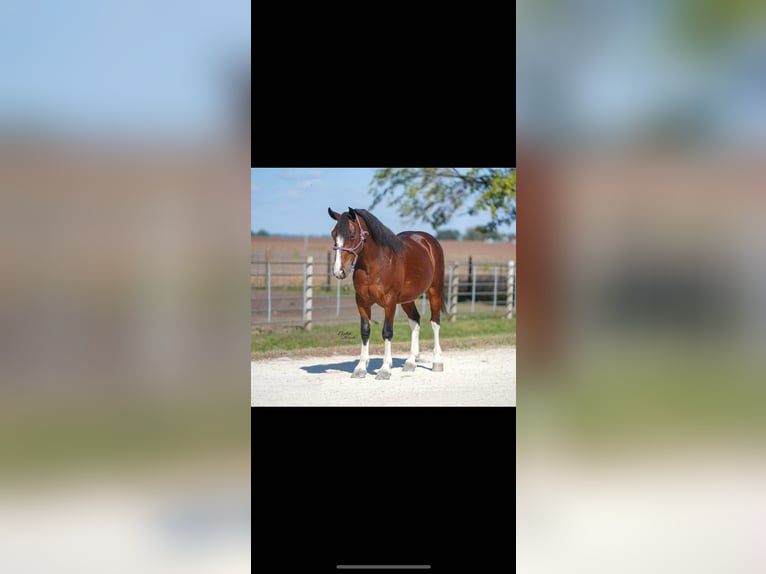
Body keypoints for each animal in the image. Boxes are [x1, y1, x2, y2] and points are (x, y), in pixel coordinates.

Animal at [328, 207, 447, 379]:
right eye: (333, 234)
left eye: (352, 234)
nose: (339, 271)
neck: (375, 264)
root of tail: (429, 241)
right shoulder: (362, 302)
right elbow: (365, 331)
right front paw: (360, 368)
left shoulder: (390, 302)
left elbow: (387, 332)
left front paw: (384, 370)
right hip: (407, 300)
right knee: (415, 321)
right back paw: (410, 362)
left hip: (434, 292)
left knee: (435, 322)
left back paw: (437, 362)